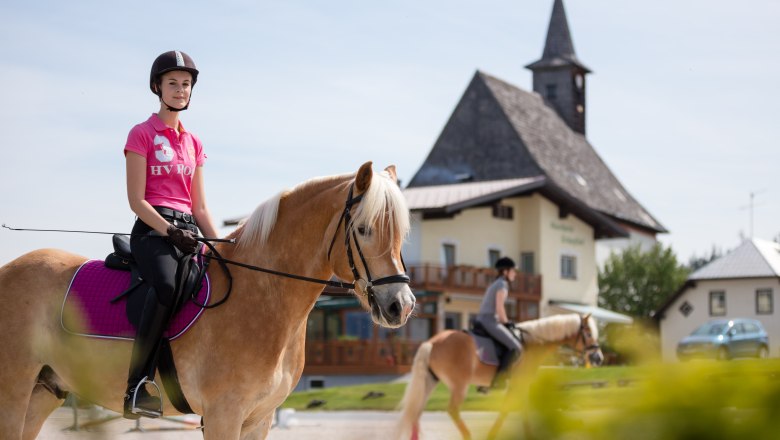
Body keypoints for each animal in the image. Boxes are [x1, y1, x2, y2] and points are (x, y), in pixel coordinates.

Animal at [0, 162, 414, 440]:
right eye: (364, 229)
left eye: (401, 233)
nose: (402, 305)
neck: (261, 294)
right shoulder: (223, 415)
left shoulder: (258, 419)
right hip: (14, 392)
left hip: (43, 393)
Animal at [396, 312, 604, 440]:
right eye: (588, 333)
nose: (598, 357)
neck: (532, 343)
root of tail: (432, 342)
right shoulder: (519, 383)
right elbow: (507, 410)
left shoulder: (520, 385)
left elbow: (521, 410)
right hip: (459, 386)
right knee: (452, 410)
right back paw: (468, 436)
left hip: (430, 382)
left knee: (416, 412)